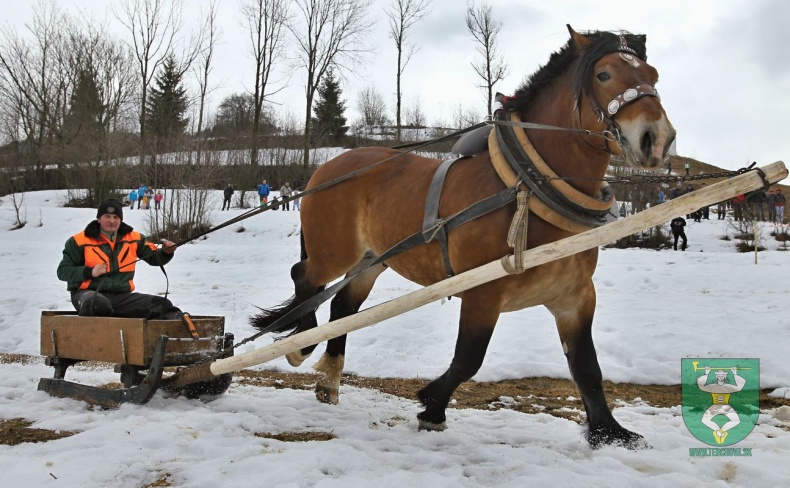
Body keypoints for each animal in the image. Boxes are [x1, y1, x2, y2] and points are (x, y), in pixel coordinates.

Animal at [254, 24, 676, 448]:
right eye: (604, 75)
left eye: (654, 75)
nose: (656, 138)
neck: (527, 187)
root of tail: (327, 168)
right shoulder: (482, 292)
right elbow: (469, 357)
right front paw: (432, 406)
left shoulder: (575, 297)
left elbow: (587, 366)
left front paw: (609, 431)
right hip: (335, 251)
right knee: (304, 277)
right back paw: (303, 343)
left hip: (373, 259)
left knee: (343, 306)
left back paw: (329, 380)